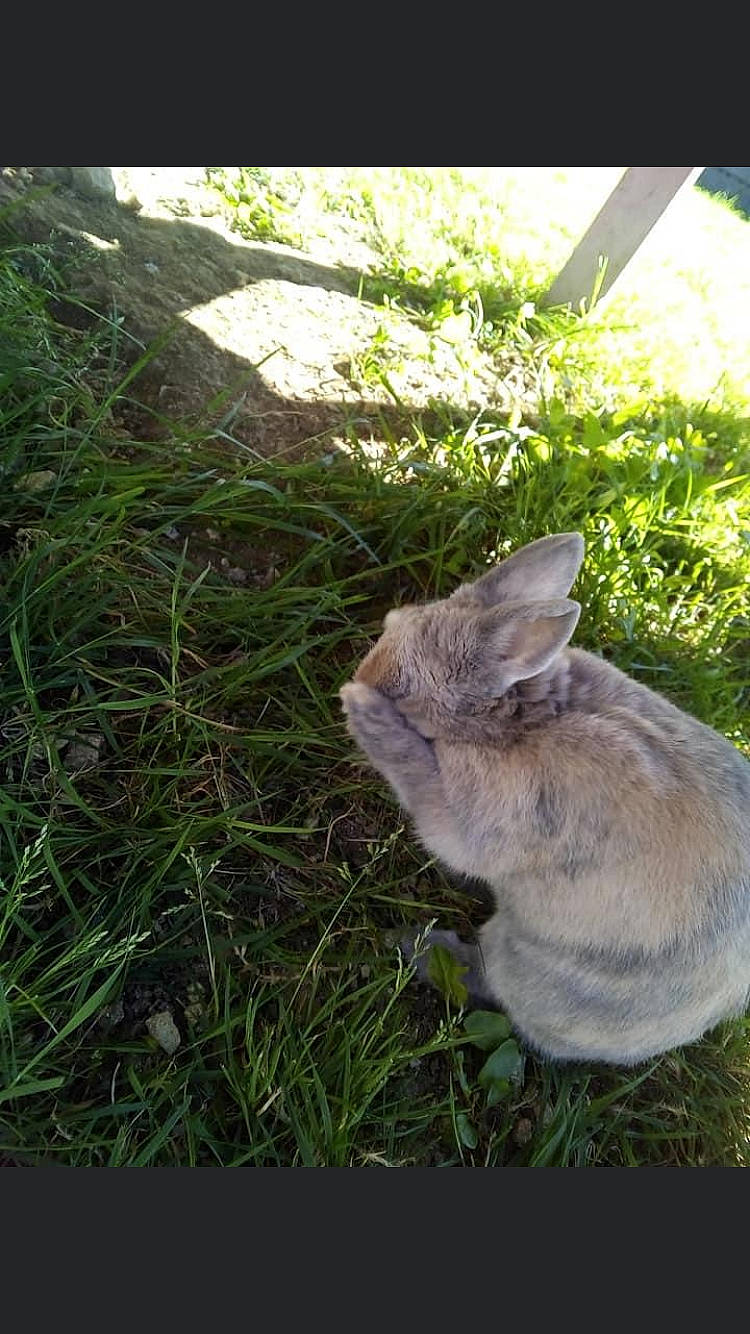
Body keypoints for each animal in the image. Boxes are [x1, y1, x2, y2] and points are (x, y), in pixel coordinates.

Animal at [340, 532, 750, 1065]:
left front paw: (363, 710)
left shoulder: (485, 817)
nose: (359, 679)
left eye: (402, 690)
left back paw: (421, 948)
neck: (527, 717)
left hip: (526, 965)